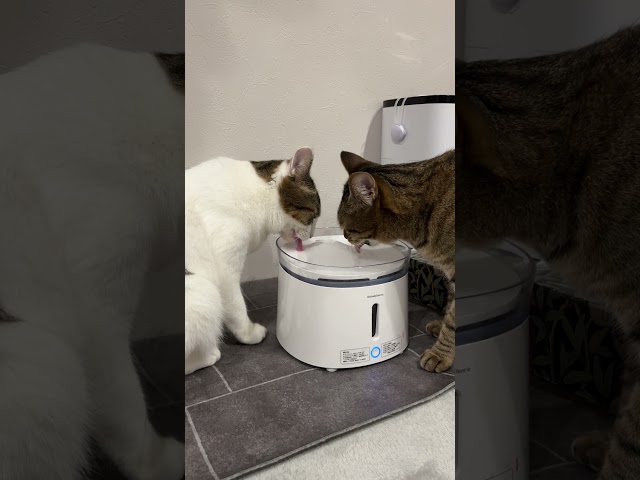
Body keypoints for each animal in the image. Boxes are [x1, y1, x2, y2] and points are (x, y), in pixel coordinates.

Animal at [184, 147, 321, 375]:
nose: (312, 235)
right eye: (313, 215)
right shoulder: (225, 268)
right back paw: (210, 354)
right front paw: (249, 334)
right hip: (204, 292)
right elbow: (237, 307)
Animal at [337, 150, 455, 373]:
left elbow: (453, 319)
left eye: (348, 228)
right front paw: (441, 326)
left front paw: (440, 355)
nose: (345, 237)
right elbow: (451, 309)